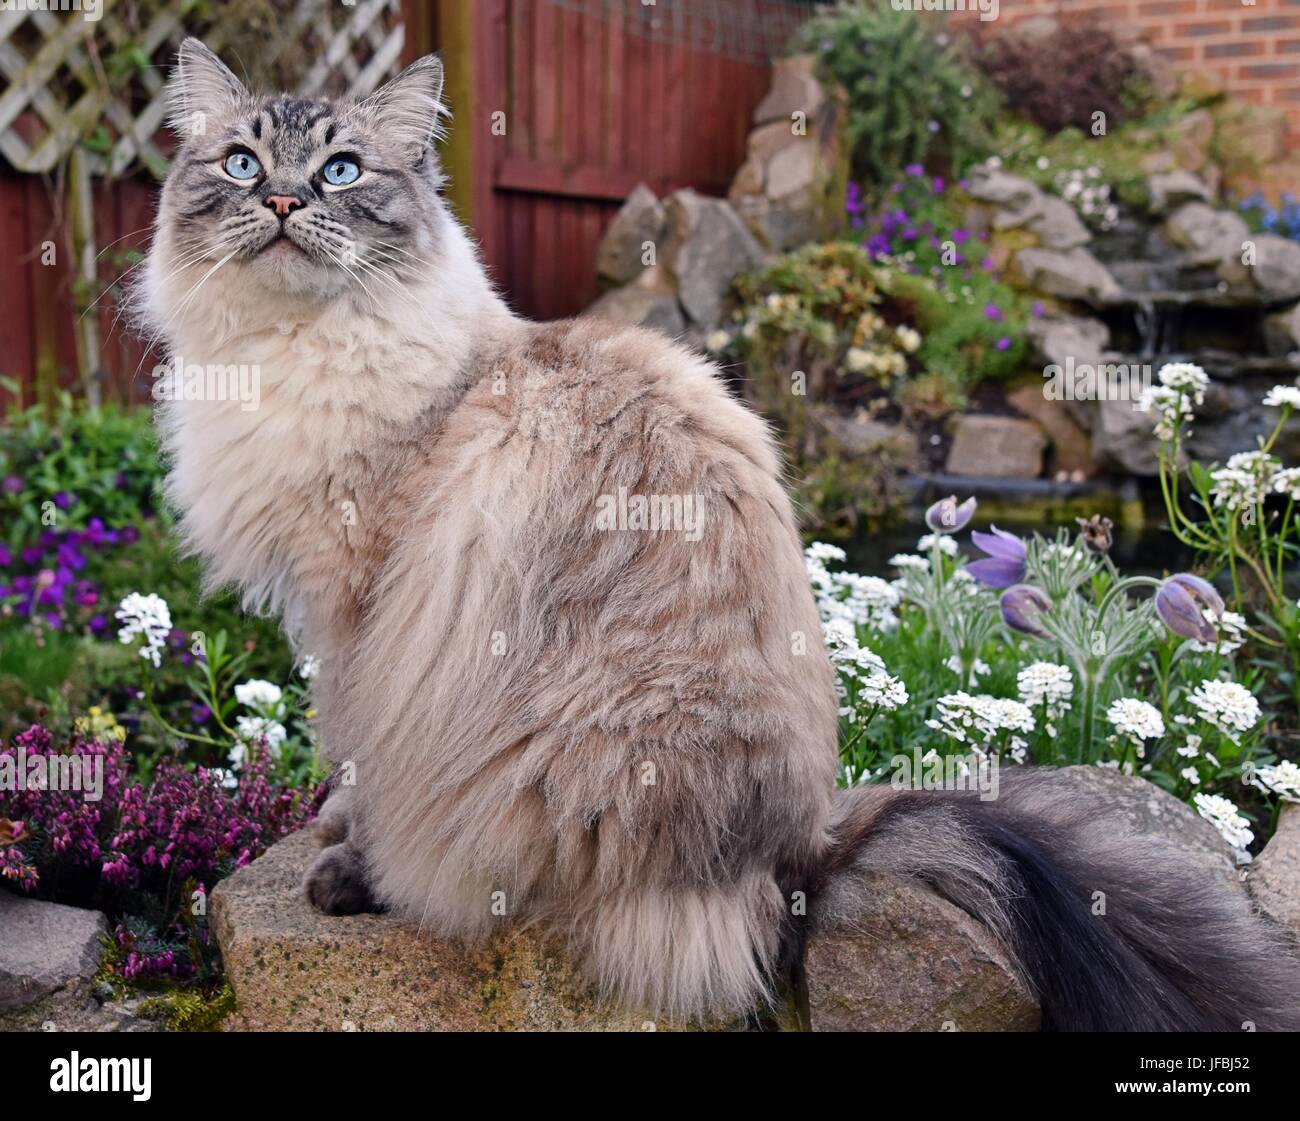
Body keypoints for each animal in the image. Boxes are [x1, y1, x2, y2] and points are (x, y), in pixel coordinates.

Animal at [142, 41, 1300, 1024]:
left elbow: (356, 754)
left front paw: (348, 859)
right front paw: (336, 834)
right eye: (243, 164)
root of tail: (799, 858)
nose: (284, 200)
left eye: (340, 172)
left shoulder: (363, 609)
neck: (295, 349)